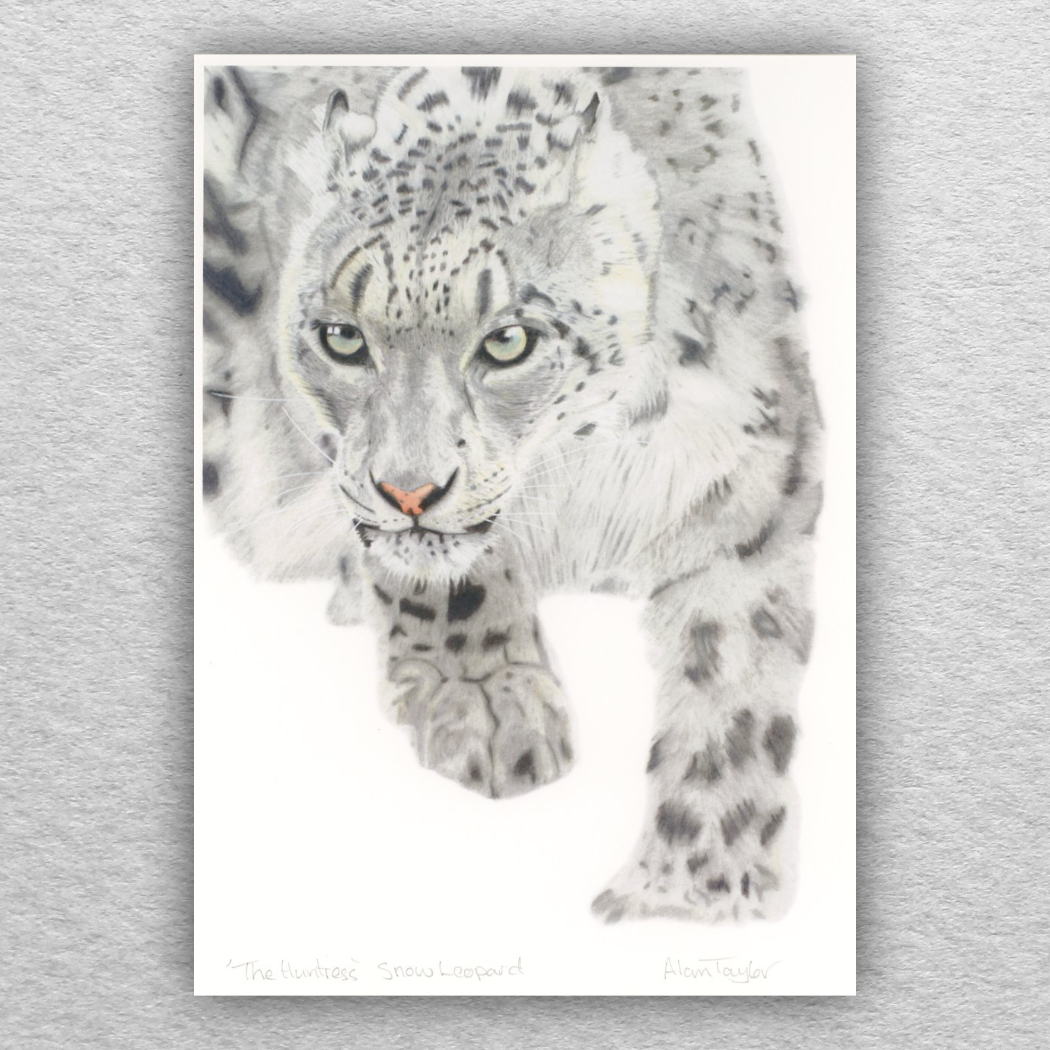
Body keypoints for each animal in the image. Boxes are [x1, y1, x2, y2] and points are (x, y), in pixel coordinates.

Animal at [201, 62, 823, 923]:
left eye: (508, 341)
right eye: (342, 338)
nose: (409, 491)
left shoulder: (754, 480)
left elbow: (734, 689)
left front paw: (692, 890)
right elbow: (443, 574)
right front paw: (486, 703)